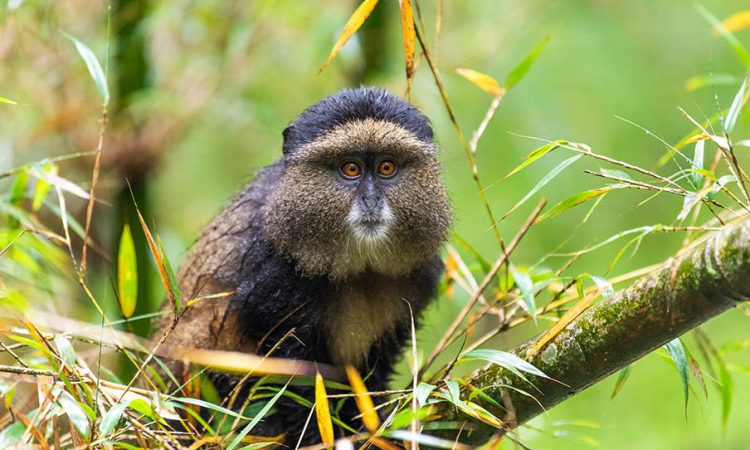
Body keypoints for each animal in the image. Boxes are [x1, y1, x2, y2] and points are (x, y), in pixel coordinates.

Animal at [157, 87, 452, 444]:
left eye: (386, 167)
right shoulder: (272, 279)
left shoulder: (419, 275)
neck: (359, 268)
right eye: (350, 169)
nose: (371, 200)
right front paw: (317, 438)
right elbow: (295, 378)